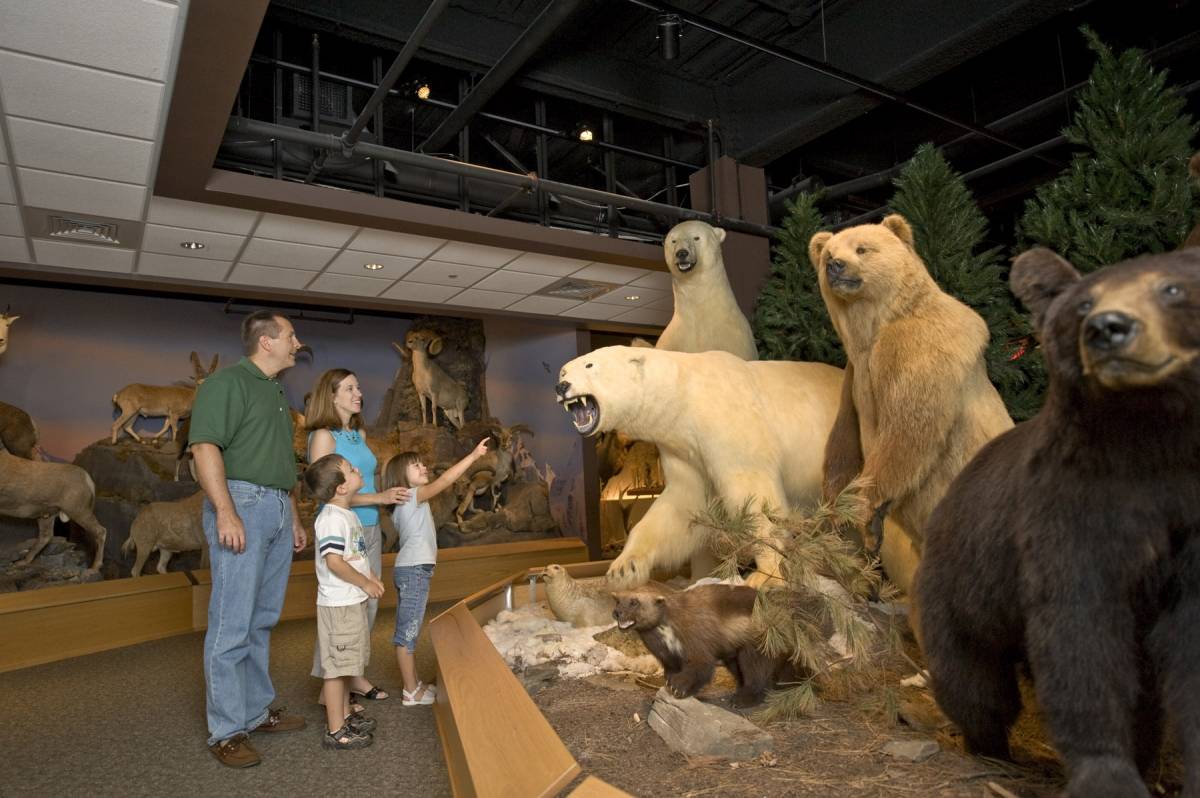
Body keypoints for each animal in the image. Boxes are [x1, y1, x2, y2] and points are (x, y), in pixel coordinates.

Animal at [554, 348, 844, 585]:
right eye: (564, 369)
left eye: (590, 364)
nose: (561, 385)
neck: (688, 394)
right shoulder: (686, 451)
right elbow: (682, 506)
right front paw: (624, 567)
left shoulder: (731, 423)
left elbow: (755, 497)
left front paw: (767, 574)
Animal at [614, 583, 782, 705]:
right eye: (617, 600)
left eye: (634, 602)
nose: (616, 612)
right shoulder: (667, 655)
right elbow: (671, 670)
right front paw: (669, 682)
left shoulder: (698, 643)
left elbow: (700, 667)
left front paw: (678, 687)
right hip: (732, 657)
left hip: (755, 648)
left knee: (757, 674)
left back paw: (743, 698)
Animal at [806, 214, 1012, 595]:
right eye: (827, 252)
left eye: (862, 248)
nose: (835, 265)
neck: (873, 328)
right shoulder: (855, 374)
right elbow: (844, 437)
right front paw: (835, 513)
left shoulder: (918, 349)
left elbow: (907, 429)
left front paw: (867, 516)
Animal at [916, 246, 1200, 792]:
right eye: (1084, 302)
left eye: (1171, 288)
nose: (1109, 328)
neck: (1149, 440)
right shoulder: (1071, 514)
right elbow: (1079, 635)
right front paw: (1107, 774)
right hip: (960, 590)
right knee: (977, 682)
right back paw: (990, 746)